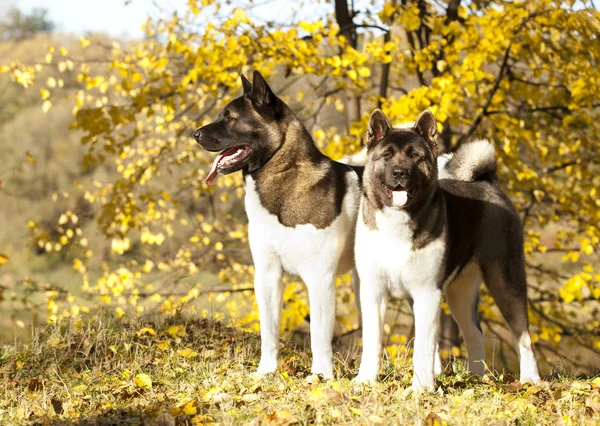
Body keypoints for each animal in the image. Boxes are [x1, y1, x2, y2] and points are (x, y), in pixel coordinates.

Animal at [192, 70, 360, 380]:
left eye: (231, 117)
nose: (195, 134)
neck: (283, 173)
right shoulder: (268, 276)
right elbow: (268, 330)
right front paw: (265, 372)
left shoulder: (319, 279)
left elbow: (319, 334)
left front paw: (320, 377)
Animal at [352, 109, 540, 390]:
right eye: (386, 155)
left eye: (414, 155)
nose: (399, 172)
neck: (397, 221)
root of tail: (488, 184)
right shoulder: (373, 290)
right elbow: (372, 340)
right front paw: (365, 380)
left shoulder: (427, 292)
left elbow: (423, 346)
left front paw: (421, 388)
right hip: (460, 292)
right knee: (474, 333)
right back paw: (475, 378)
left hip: (505, 279)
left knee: (523, 335)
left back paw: (531, 380)